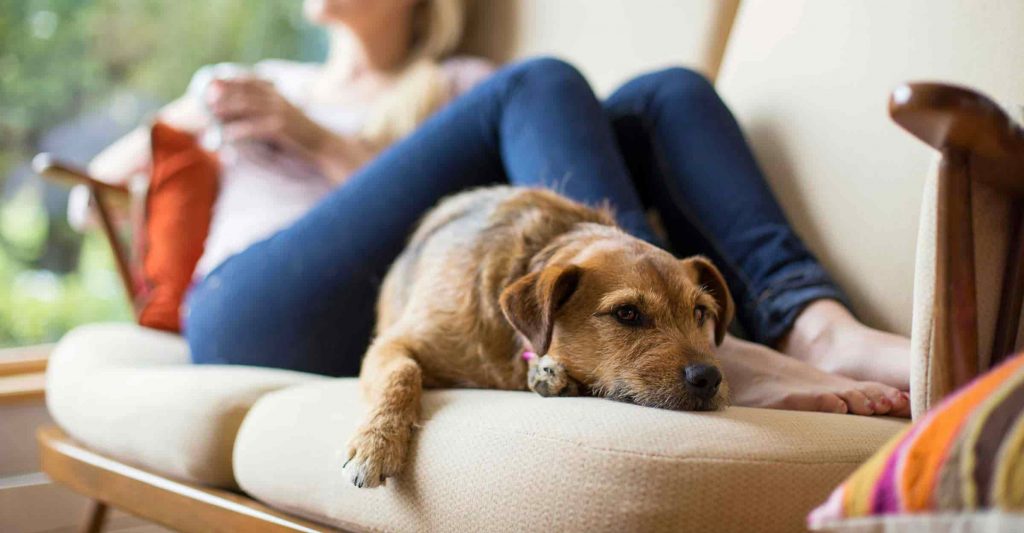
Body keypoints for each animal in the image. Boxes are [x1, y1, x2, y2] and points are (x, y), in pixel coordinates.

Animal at [344, 186, 737, 486]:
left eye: (700, 312)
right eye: (626, 313)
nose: (709, 378)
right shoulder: (392, 344)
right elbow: (403, 373)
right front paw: (378, 442)